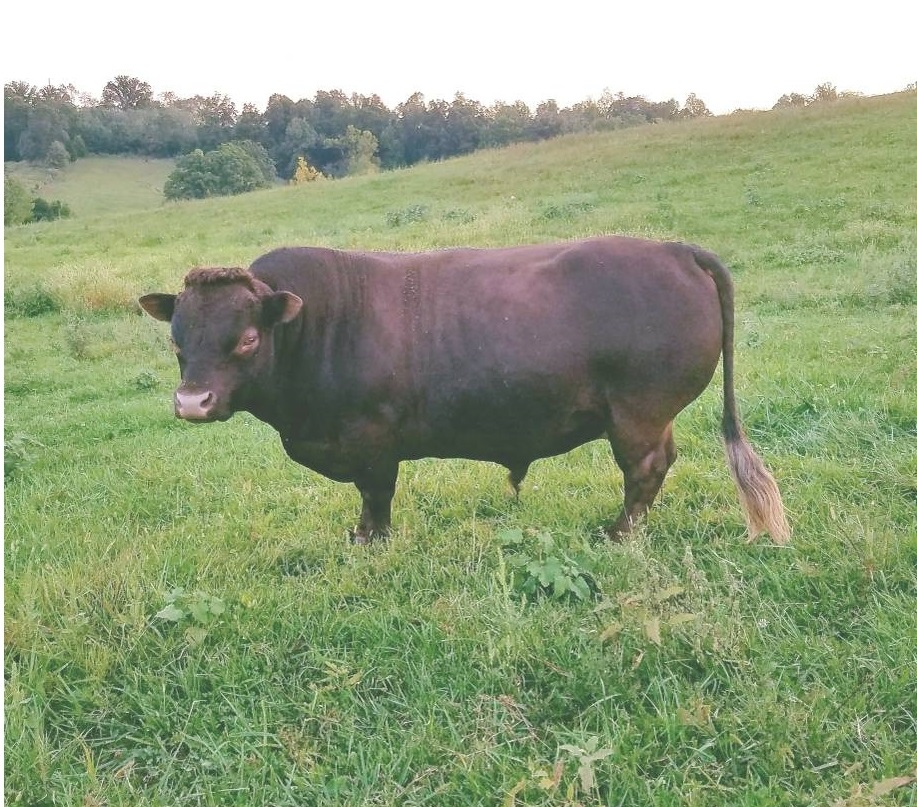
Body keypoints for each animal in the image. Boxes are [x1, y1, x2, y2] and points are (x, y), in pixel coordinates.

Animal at [139, 236, 789, 545]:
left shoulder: (372, 440)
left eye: (247, 338)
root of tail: (672, 248)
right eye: (177, 338)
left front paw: (370, 541)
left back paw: (619, 533)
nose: (192, 402)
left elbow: (376, 498)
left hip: (638, 413)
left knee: (645, 471)